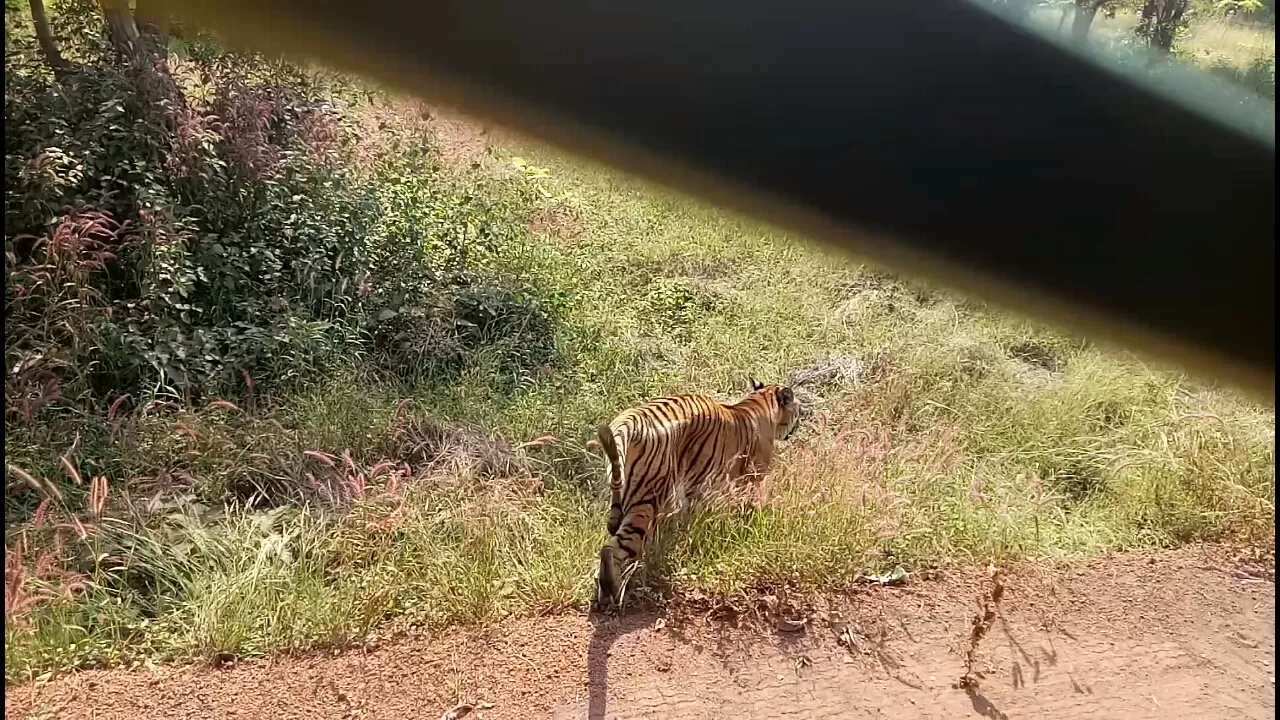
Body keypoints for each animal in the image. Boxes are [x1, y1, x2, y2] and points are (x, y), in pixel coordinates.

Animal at [591, 379, 793, 607]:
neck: (759, 402)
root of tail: (628, 421)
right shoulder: (750, 480)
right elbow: (747, 509)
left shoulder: (697, 487)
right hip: (646, 501)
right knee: (614, 548)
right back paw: (612, 591)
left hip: (624, 495)